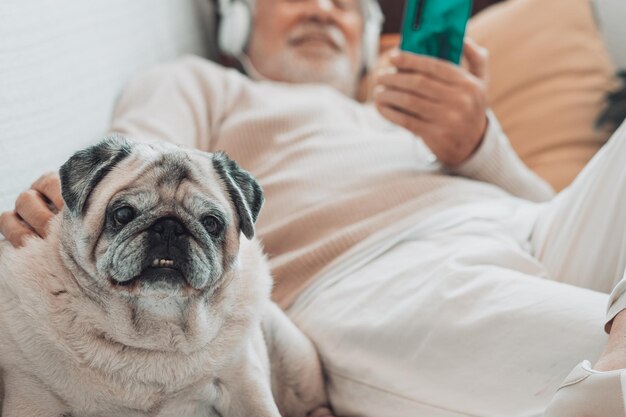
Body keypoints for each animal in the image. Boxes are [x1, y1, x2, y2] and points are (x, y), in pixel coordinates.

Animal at [0, 135, 332, 414]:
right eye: (122, 214)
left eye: (211, 223)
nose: (170, 226)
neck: (155, 328)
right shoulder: (35, 395)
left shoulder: (244, 384)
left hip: (294, 360)